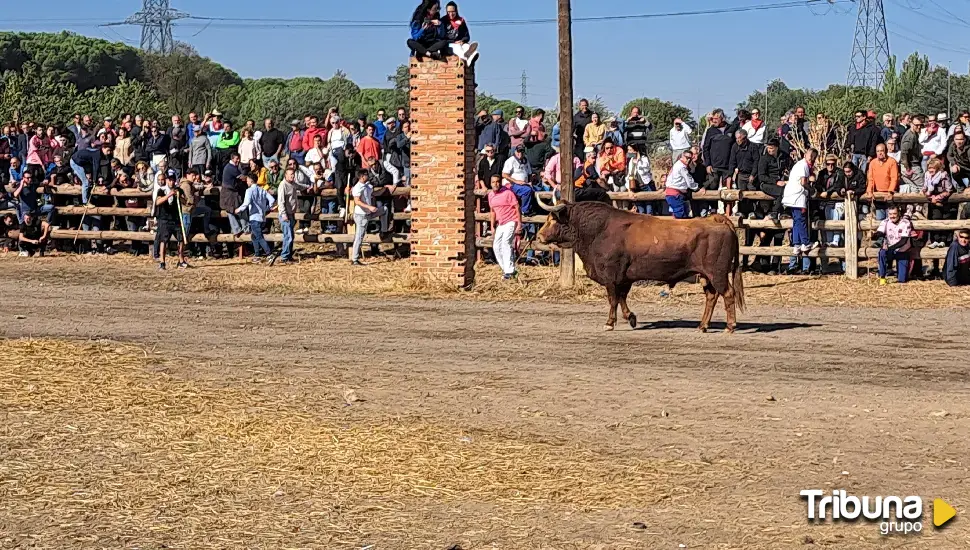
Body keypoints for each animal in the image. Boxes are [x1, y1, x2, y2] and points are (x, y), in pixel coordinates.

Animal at [532, 202, 744, 334]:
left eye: (553, 220)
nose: (539, 236)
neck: (599, 230)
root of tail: (715, 219)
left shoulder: (611, 276)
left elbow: (613, 299)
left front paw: (610, 323)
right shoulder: (624, 278)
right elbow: (622, 298)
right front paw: (631, 318)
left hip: (717, 274)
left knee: (728, 294)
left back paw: (730, 326)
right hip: (706, 276)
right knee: (711, 296)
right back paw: (702, 326)